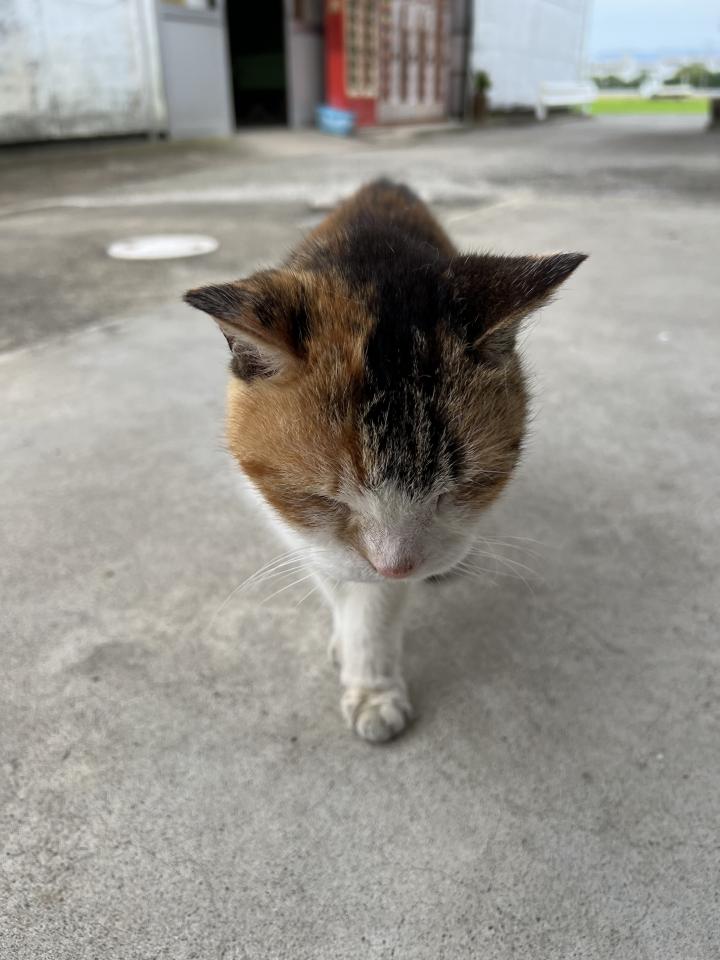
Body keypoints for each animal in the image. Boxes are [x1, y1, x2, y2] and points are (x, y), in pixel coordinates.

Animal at [185, 179, 585, 743]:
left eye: (459, 489)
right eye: (324, 499)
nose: (397, 565)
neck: (369, 252)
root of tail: (382, 184)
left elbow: (376, 605)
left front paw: (372, 686)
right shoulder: (297, 523)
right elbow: (333, 571)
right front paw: (347, 639)